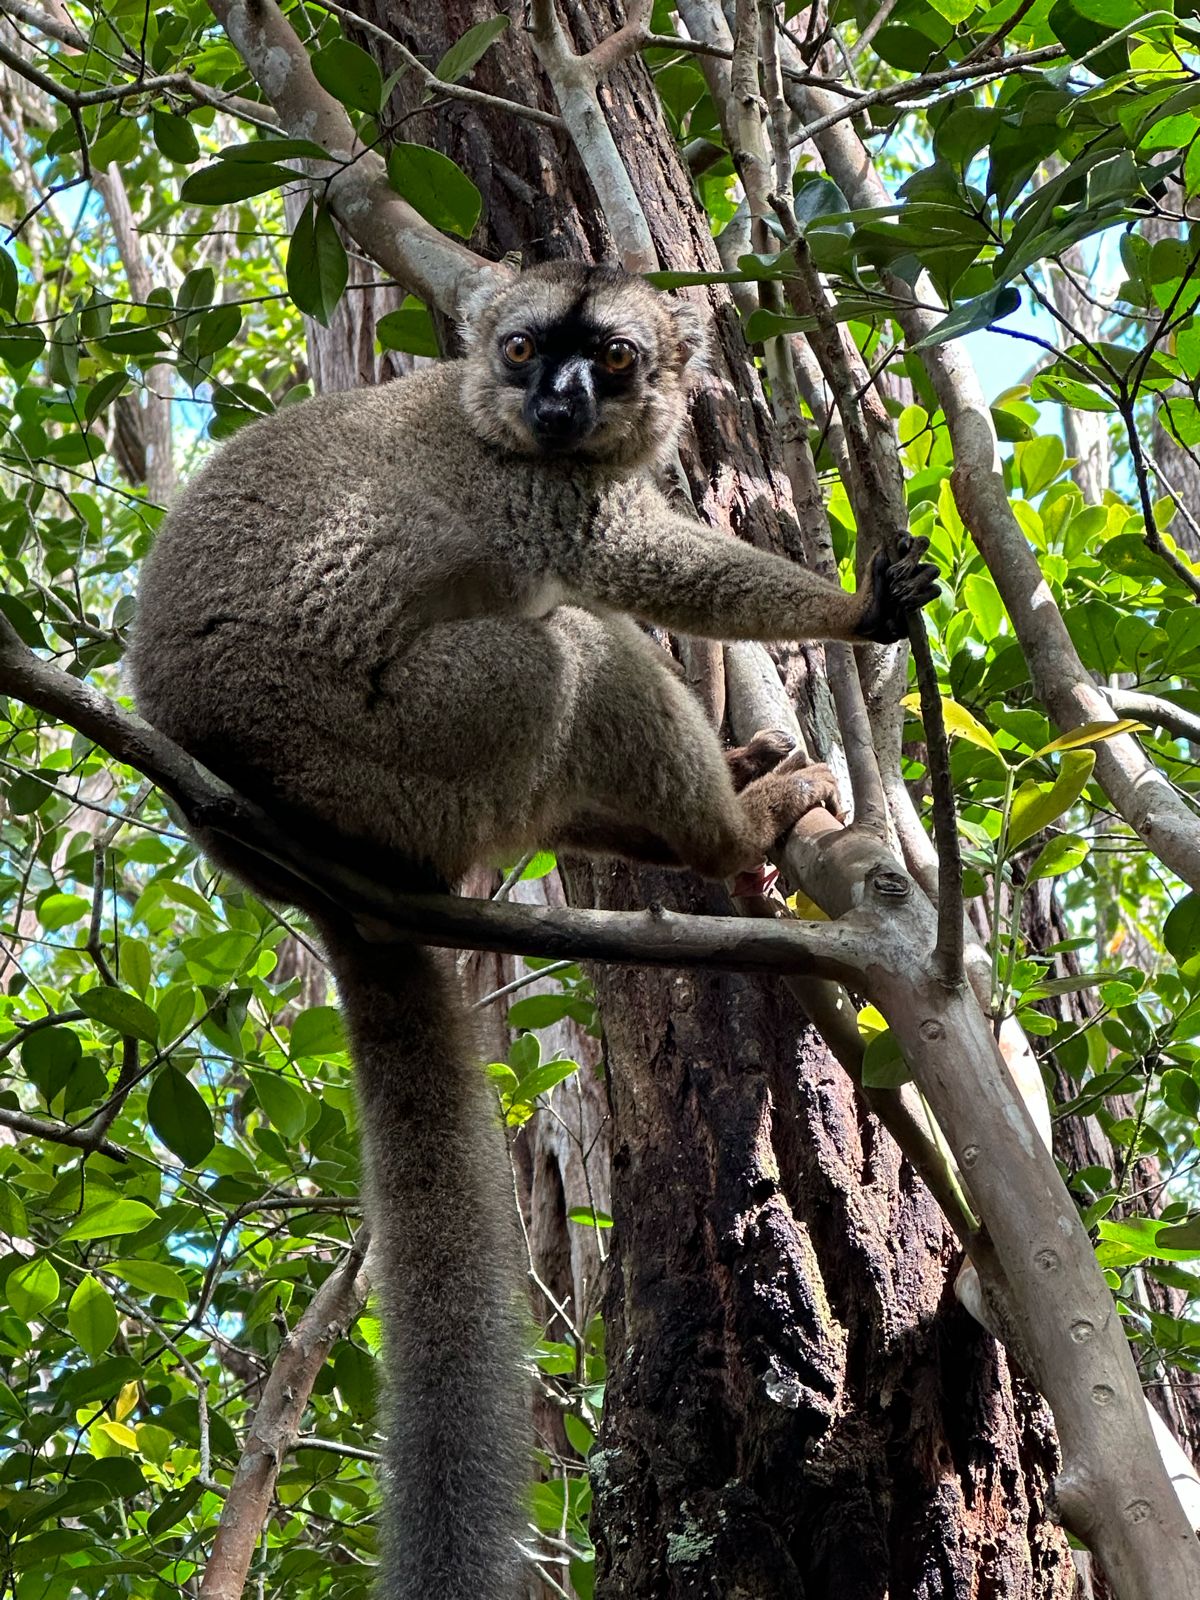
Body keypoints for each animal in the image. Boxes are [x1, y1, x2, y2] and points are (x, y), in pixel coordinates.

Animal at [129, 261, 937, 1599]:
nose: (557, 402)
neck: (496, 423)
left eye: (607, 359)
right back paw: (730, 828)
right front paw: (860, 605)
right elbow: (631, 564)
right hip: (414, 746)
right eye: (521, 352)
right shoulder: (535, 498)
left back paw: (714, 814)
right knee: (570, 655)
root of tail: (279, 850)